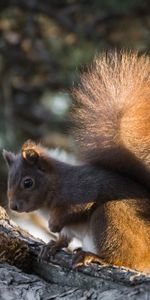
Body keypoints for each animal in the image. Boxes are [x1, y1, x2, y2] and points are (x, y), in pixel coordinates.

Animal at [2, 51, 150, 272]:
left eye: (28, 182)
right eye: (9, 181)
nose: (14, 206)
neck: (55, 185)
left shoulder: (80, 191)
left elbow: (75, 209)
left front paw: (53, 225)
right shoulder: (69, 229)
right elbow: (64, 237)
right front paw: (52, 245)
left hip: (111, 216)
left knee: (127, 258)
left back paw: (95, 256)